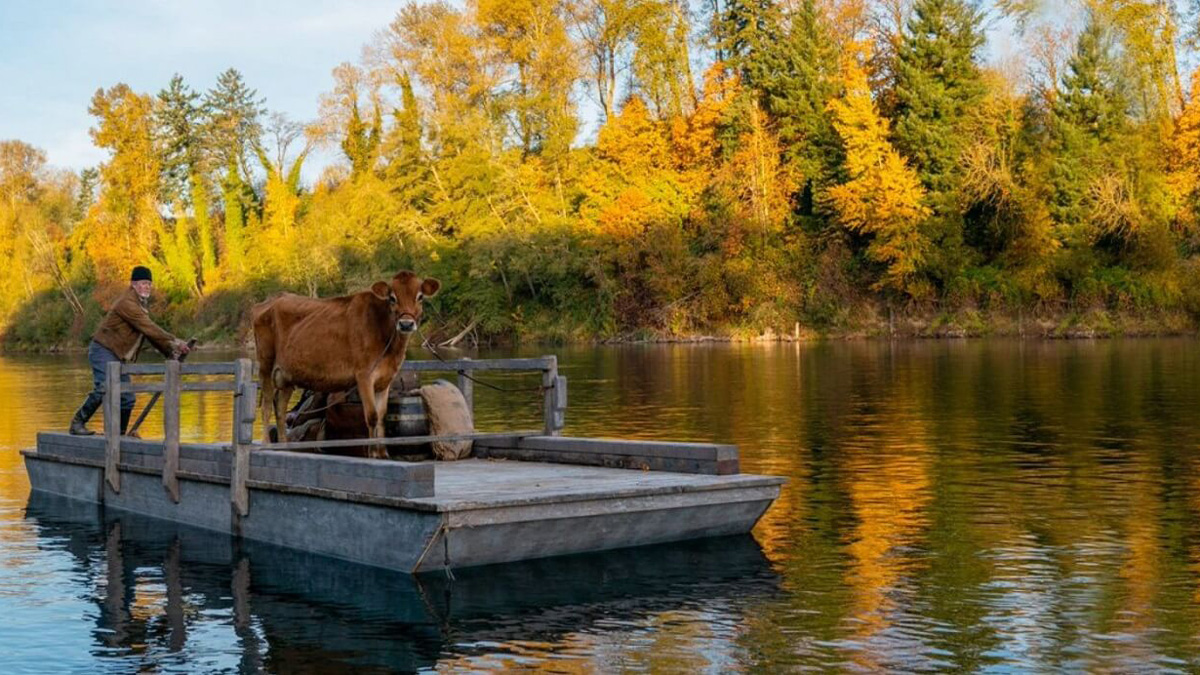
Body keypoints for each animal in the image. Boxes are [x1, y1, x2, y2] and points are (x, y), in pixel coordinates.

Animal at [251, 271, 440, 458]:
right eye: (392, 298)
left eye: (420, 296)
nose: (406, 324)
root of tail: (274, 299)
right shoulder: (364, 375)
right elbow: (372, 416)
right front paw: (372, 453)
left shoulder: (385, 380)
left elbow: (382, 417)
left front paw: (382, 453)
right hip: (265, 364)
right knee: (267, 404)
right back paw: (266, 444)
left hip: (288, 375)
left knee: (280, 406)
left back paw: (284, 445)